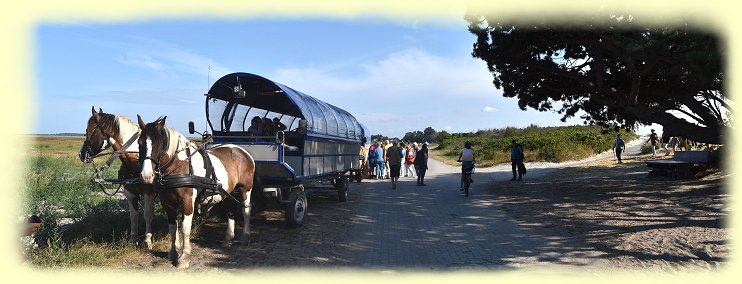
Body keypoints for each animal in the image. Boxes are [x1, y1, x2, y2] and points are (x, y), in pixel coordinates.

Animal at [79, 106, 158, 248]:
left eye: (87, 131)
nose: (81, 154)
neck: (134, 161)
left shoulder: (149, 192)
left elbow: (148, 215)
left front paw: (147, 240)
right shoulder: (130, 192)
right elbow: (133, 216)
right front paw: (132, 239)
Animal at [138, 115, 258, 268]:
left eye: (159, 144)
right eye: (140, 142)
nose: (146, 175)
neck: (180, 165)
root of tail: (243, 151)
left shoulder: (187, 201)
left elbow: (184, 228)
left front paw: (184, 257)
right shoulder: (167, 203)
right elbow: (172, 228)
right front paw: (173, 252)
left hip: (245, 189)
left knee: (246, 210)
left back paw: (245, 237)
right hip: (226, 193)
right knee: (230, 212)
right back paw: (228, 239)